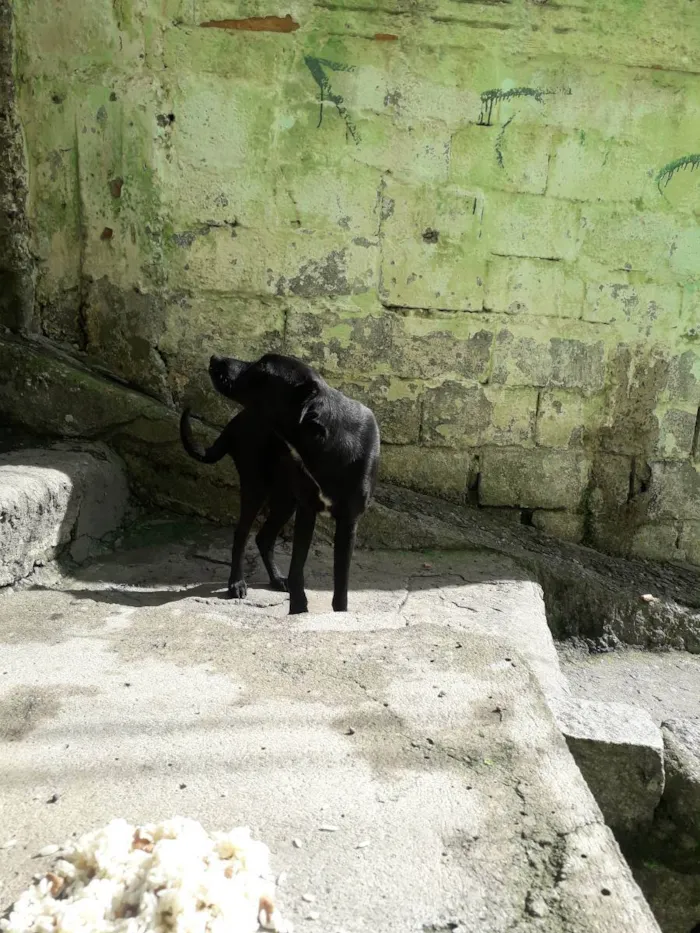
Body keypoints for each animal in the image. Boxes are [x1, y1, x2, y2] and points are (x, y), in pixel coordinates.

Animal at [179, 354, 378, 616]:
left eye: (262, 368)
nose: (215, 358)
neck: (325, 440)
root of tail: (235, 422)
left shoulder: (348, 522)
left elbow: (341, 584)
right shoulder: (307, 511)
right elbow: (297, 571)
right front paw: (298, 610)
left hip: (285, 499)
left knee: (263, 538)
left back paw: (274, 579)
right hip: (257, 487)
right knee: (242, 534)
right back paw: (236, 583)